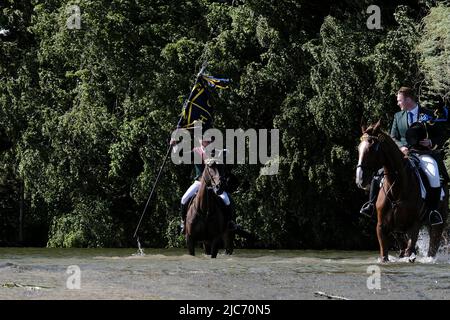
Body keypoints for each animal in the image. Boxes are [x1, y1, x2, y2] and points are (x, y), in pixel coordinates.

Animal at [356, 121, 448, 262]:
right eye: (359, 148)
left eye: (372, 148)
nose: (360, 179)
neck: (397, 190)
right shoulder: (382, 228)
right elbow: (385, 255)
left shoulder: (413, 226)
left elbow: (409, 251)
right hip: (399, 231)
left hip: (437, 225)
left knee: (432, 247)